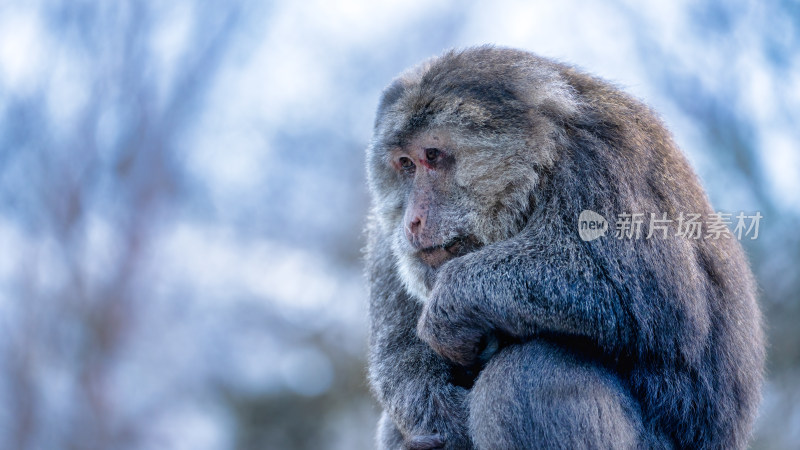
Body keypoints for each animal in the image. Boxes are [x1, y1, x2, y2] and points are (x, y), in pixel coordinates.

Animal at [366, 46, 764, 450]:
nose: (412, 220)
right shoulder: (385, 239)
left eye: (432, 155)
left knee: (529, 373)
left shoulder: (600, 162)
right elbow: (398, 356)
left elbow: (663, 305)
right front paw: (443, 416)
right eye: (405, 164)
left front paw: (453, 297)